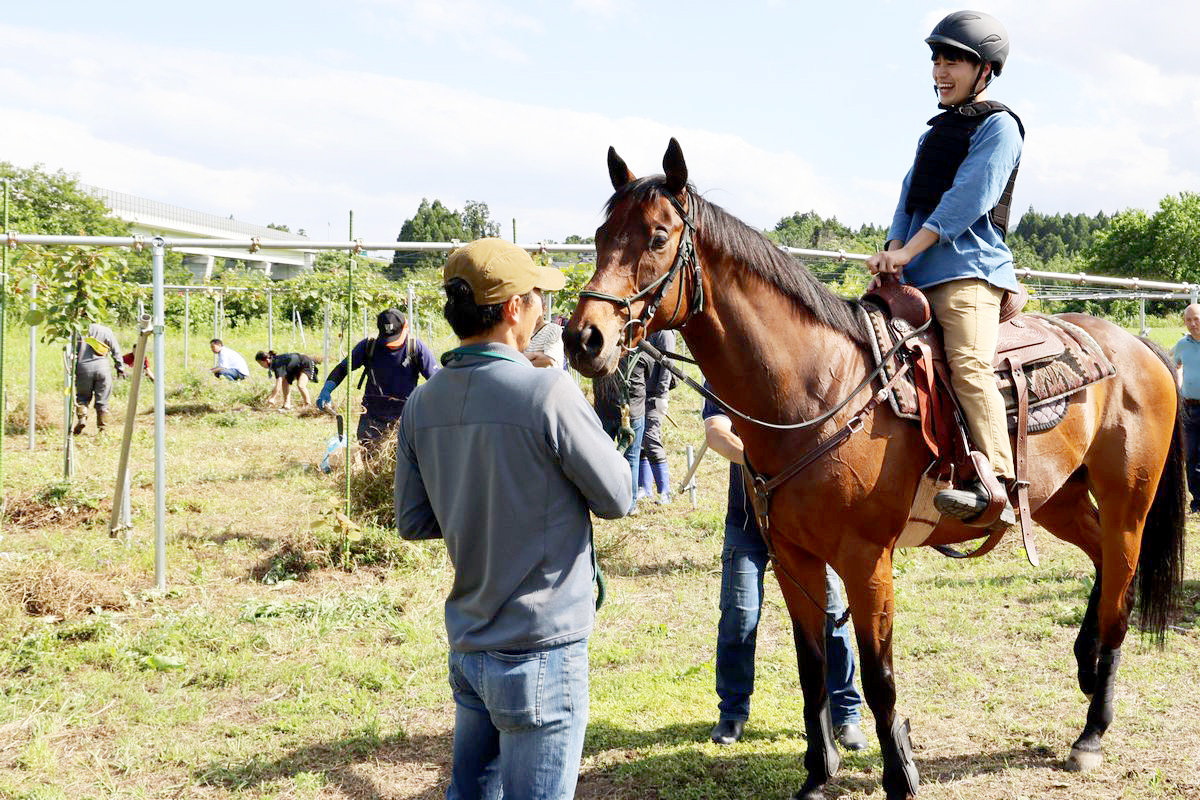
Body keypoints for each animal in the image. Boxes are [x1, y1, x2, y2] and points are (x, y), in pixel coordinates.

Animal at [561, 140, 1180, 800]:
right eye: (599, 236)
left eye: (657, 236)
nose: (584, 339)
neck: (816, 389)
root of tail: (1137, 348)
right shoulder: (793, 559)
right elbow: (812, 669)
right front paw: (816, 775)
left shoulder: (866, 562)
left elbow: (879, 676)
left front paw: (900, 775)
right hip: (1056, 500)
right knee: (1103, 565)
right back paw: (1086, 665)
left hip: (1127, 506)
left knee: (1120, 592)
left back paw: (1092, 729)